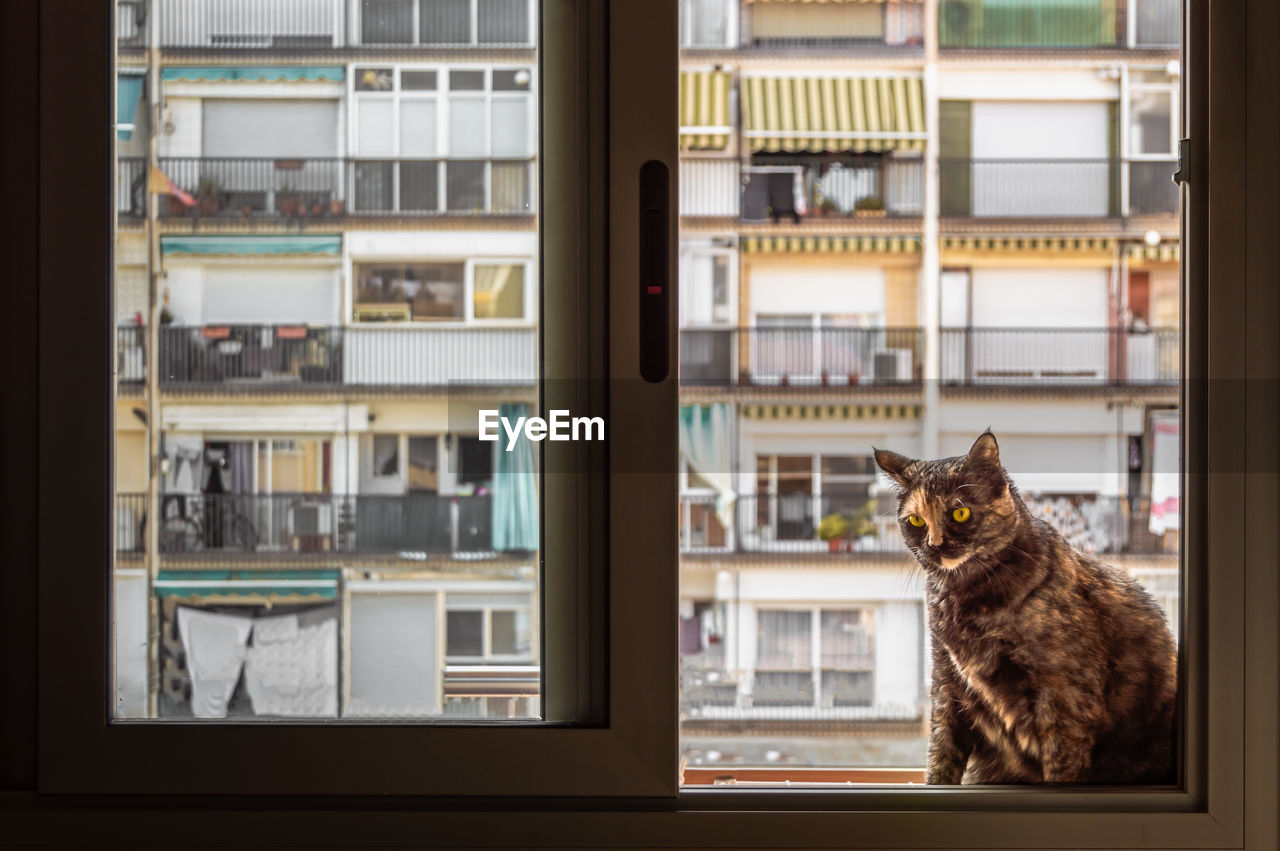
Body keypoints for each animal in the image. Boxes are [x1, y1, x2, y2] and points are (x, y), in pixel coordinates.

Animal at [875, 432, 1172, 783]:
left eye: (960, 513)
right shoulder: (947, 682)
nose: (934, 545)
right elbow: (940, 755)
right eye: (916, 521)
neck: (964, 596)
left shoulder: (1065, 698)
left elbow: (1061, 766)